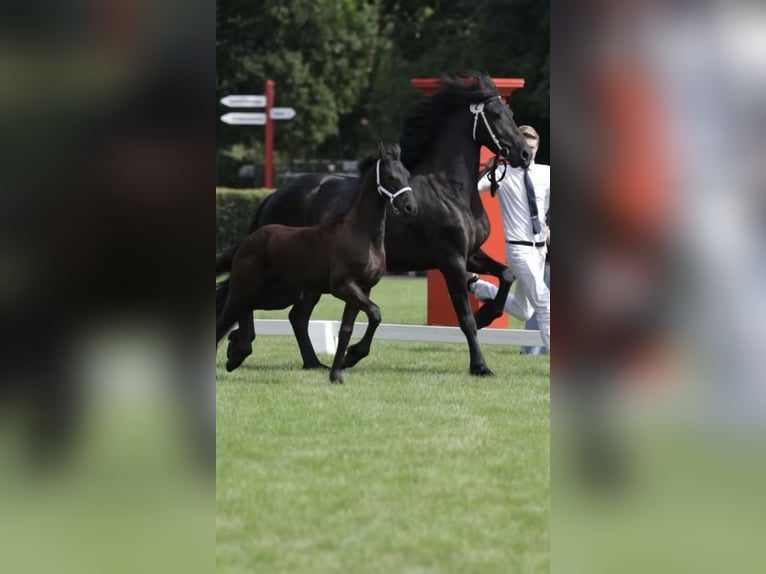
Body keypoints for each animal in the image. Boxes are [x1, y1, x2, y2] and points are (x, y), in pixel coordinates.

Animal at [216, 143, 416, 383]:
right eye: (390, 176)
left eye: (407, 174)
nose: (410, 207)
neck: (361, 235)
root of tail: (248, 239)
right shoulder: (343, 287)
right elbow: (375, 313)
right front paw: (351, 357)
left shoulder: (363, 289)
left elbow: (348, 329)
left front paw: (338, 372)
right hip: (250, 288)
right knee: (228, 316)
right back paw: (235, 353)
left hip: (281, 294)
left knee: (250, 309)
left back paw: (237, 352)